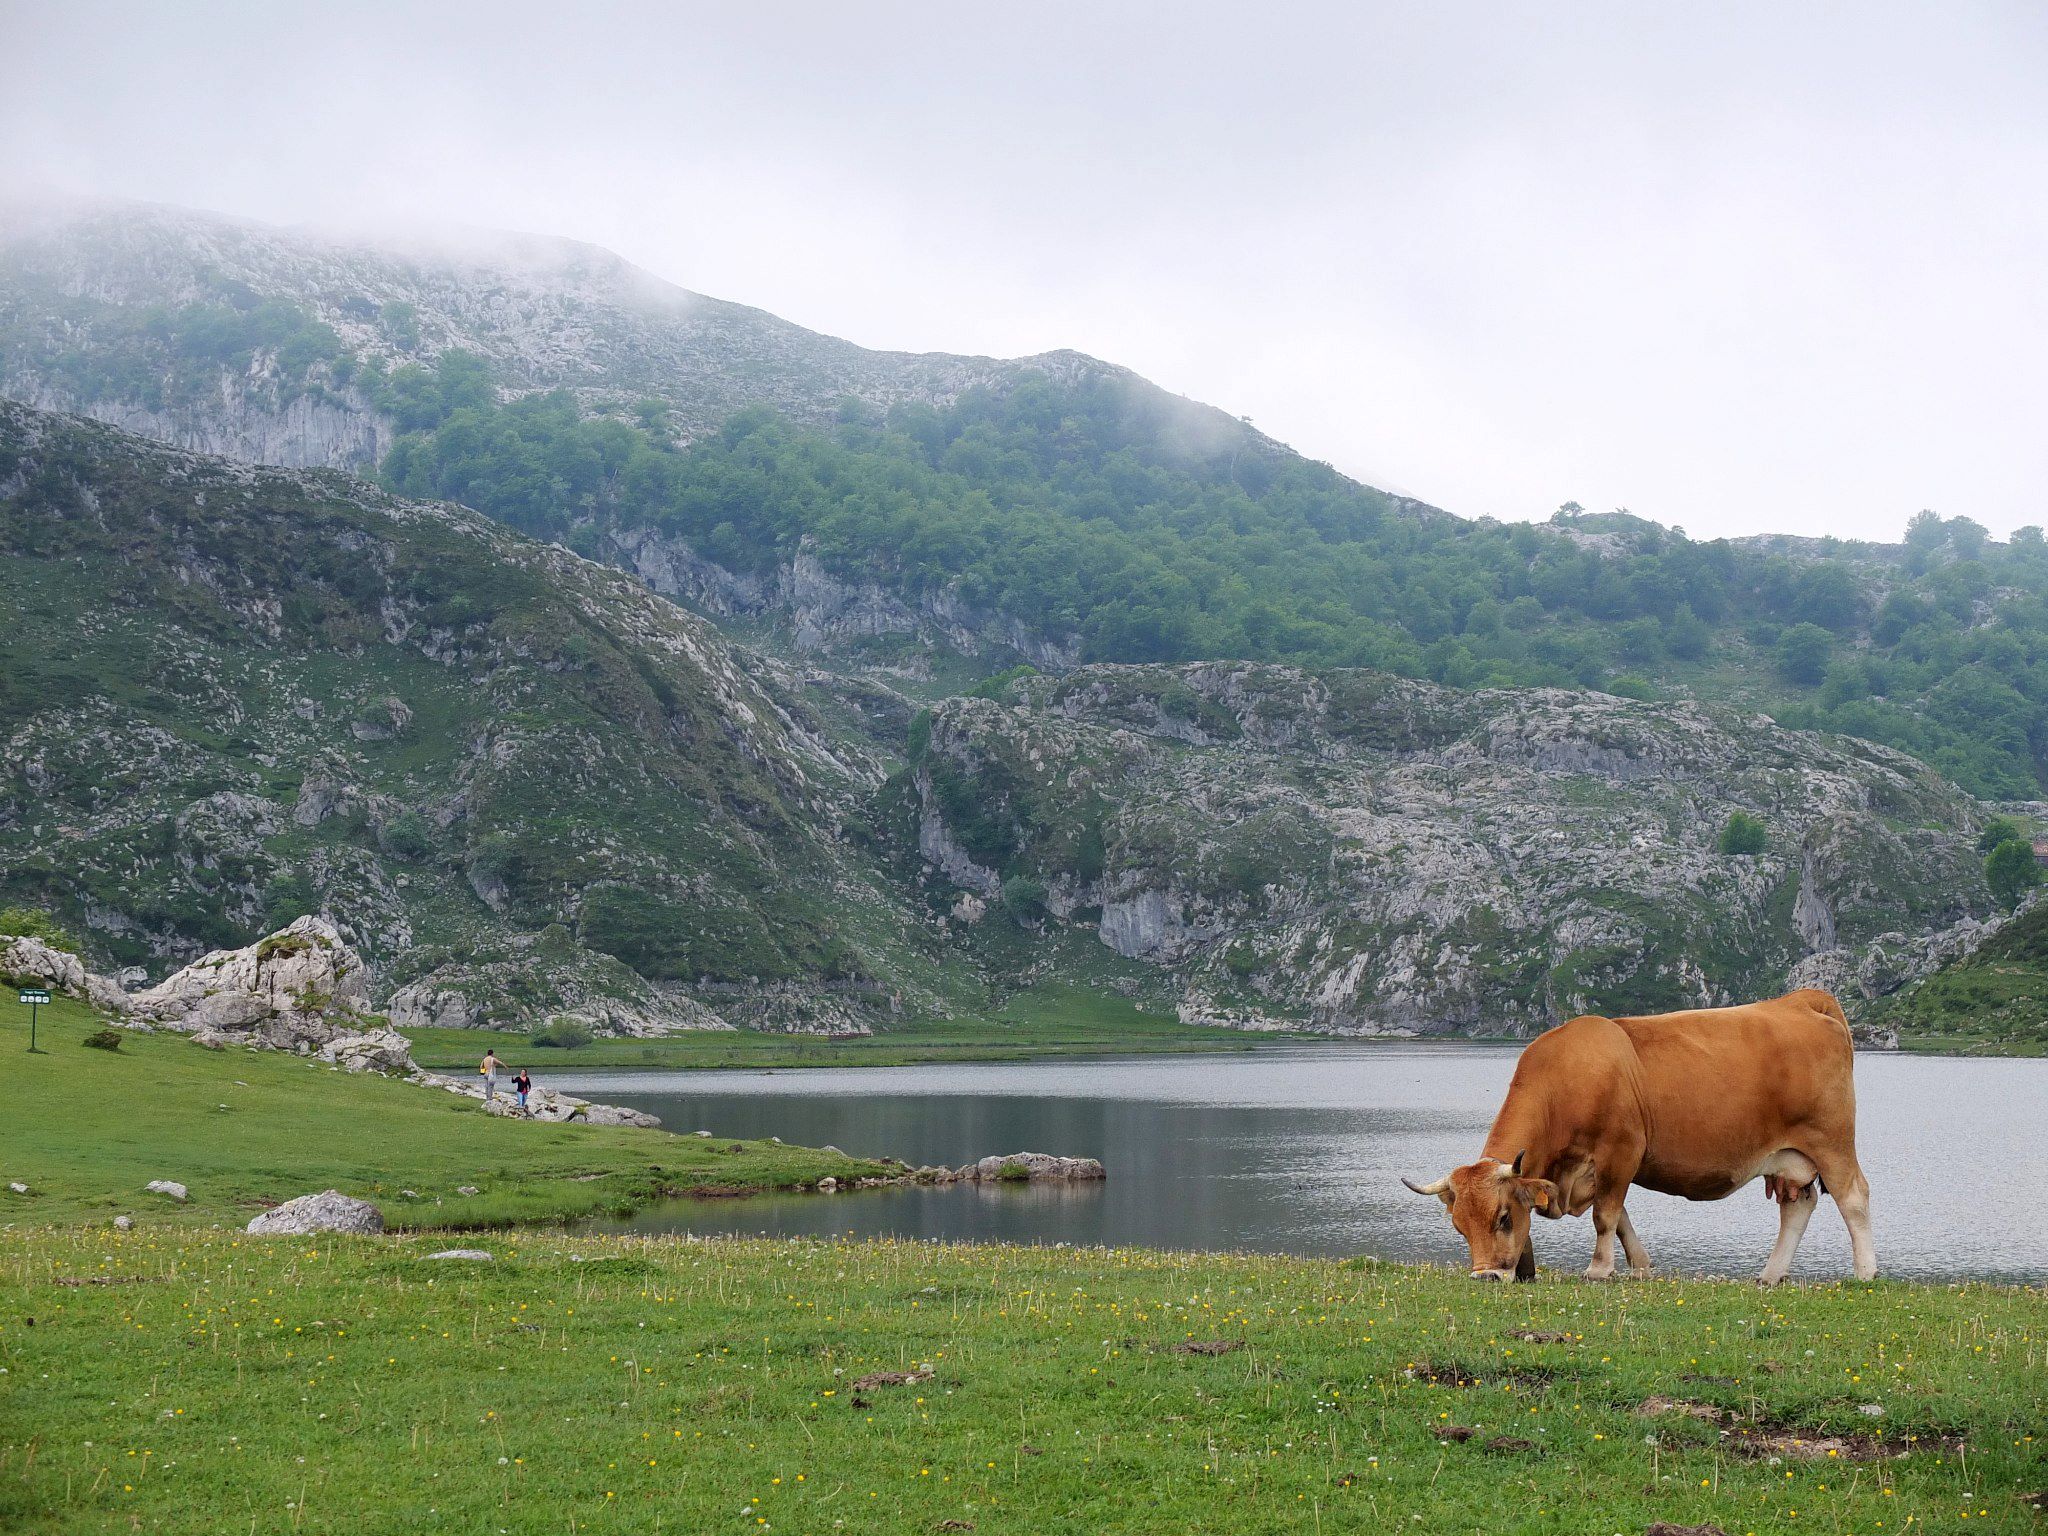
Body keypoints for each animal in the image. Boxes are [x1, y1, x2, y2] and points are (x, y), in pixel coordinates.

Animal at [1401, 988, 1875, 1285]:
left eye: (1502, 1217)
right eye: (1459, 1227)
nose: (1486, 1276)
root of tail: (1802, 1001)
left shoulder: (1621, 1151)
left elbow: (1605, 1215)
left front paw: (1598, 1270)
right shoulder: (1600, 1168)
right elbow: (1621, 1217)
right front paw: (1640, 1266)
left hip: (1832, 1142)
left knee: (1853, 1197)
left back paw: (1865, 1272)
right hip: (1790, 1157)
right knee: (1798, 1206)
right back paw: (1771, 1275)